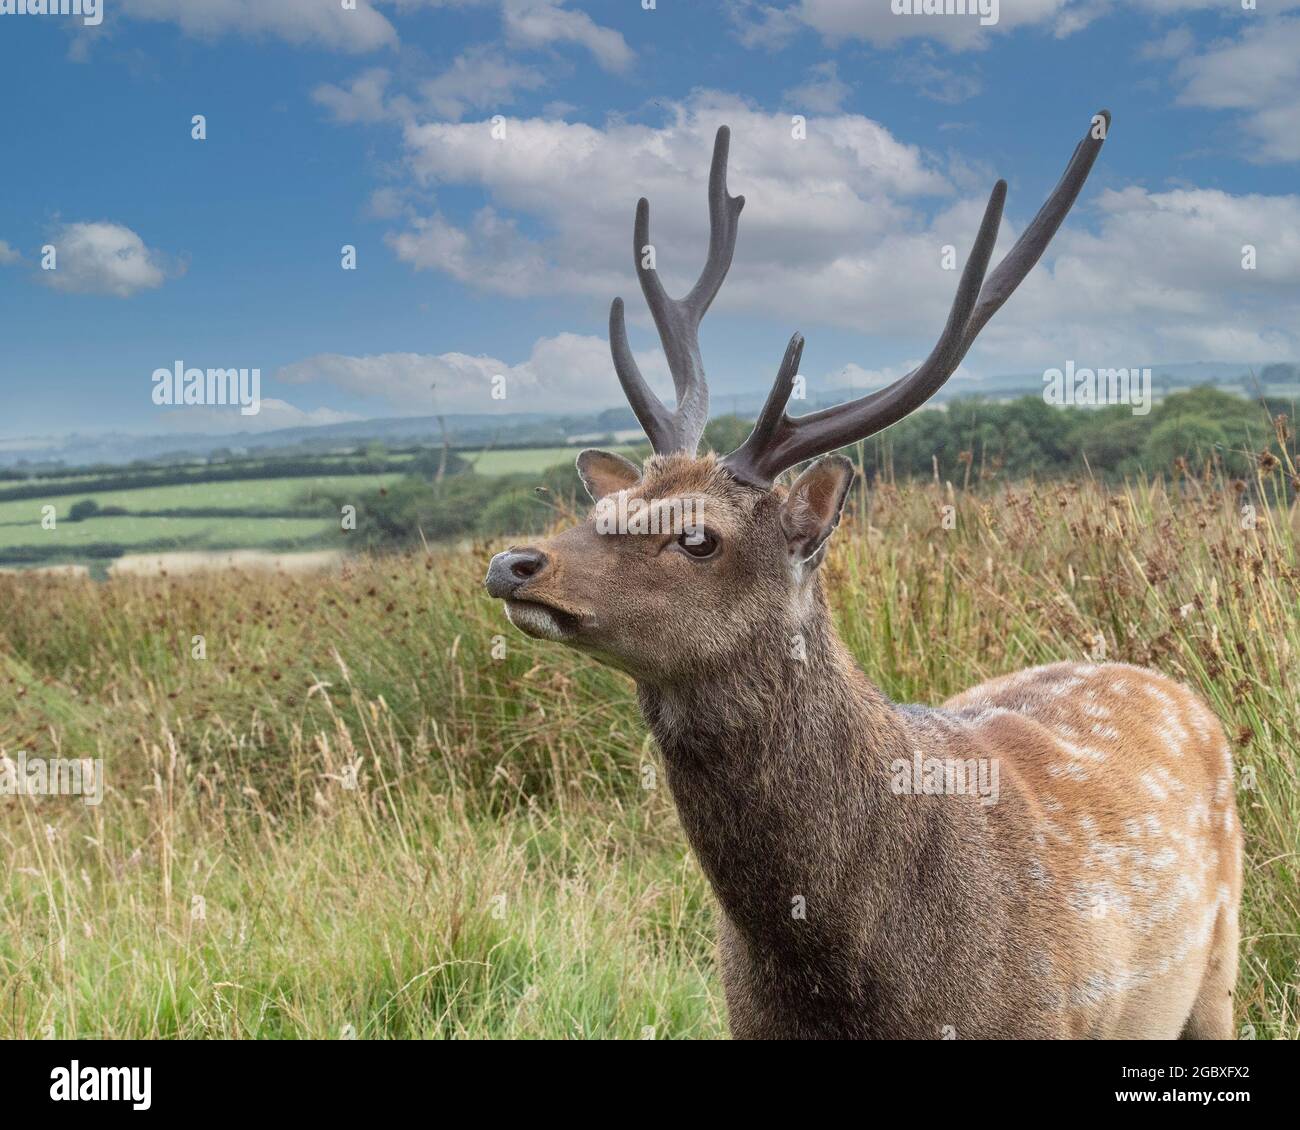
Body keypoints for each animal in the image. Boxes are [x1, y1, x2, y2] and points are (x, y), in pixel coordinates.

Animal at [485, 115, 1243, 1039]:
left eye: (699, 538)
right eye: (614, 500)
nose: (514, 561)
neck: (851, 983)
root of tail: (1178, 691)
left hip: (1219, 965)